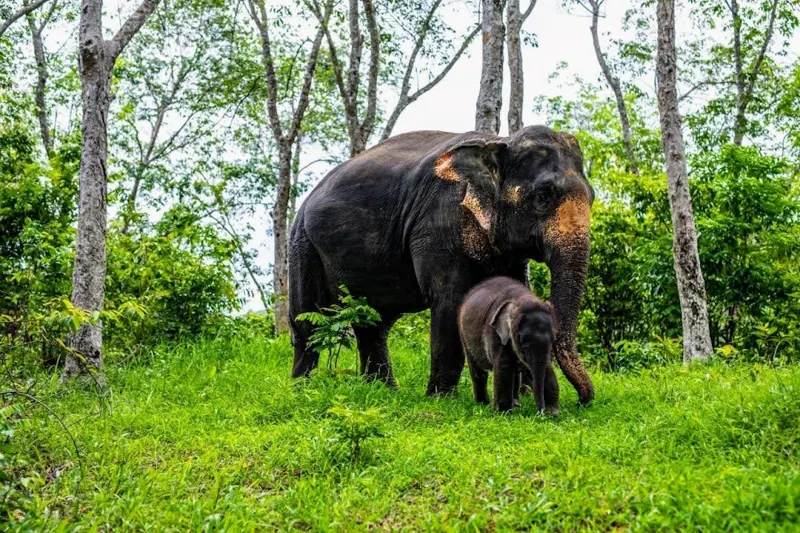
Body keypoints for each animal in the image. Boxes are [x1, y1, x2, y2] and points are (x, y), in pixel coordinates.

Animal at [458, 276, 556, 413]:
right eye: (522, 341)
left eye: (553, 339)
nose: (540, 412)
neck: (522, 299)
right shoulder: (494, 332)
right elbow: (503, 365)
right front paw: (503, 412)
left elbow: (547, 366)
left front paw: (553, 413)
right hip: (464, 334)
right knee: (477, 369)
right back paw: (483, 404)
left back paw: (515, 404)